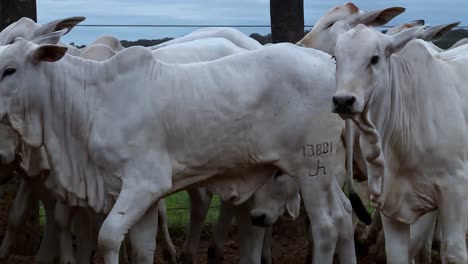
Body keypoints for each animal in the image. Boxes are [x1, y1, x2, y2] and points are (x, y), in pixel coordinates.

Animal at [0, 29, 362, 262]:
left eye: (9, 69)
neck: (93, 100)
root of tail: (329, 66)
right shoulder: (139, 196)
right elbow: (141, 248)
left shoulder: (144, 184)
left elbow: (108, 237)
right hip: (323, 172)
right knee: (345, 216)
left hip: (311, 168)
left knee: (327, 226)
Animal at [330, 24, 468, 264]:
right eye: (336, 58)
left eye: (375, 58)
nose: (343, 100)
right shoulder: (392, 203)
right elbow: (397, 253)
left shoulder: (455, 186)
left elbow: (454, 252)